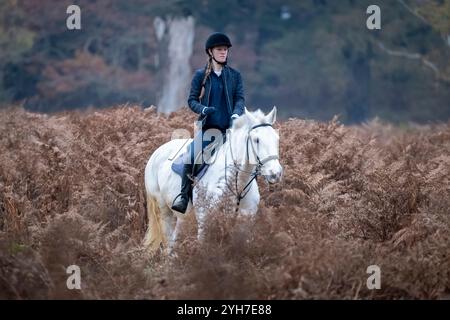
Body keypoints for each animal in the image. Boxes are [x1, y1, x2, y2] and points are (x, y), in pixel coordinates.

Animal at [142, 107, 282, 252]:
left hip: (183, 217)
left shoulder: (245, 224)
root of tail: (157, 151)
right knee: (169, 238)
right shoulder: (205, 221)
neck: (238, 185)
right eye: (256, 140)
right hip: (164, 209)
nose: (275, 173)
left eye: (276, 138)